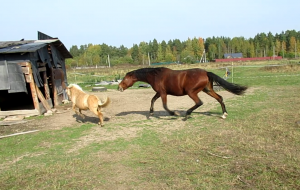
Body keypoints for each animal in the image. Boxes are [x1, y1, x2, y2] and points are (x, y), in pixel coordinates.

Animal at [118, 67, 247, 119]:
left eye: (125, 78)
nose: (119, 87)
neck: (156, 75)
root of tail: (206, 72)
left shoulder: (163, 93)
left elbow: (164, 105)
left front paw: (173, 113)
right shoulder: (159, 93)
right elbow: (152, 100)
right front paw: (151, 113)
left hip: (191, 92)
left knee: (199, 102)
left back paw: (187, 114)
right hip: (208, 90)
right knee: (219, 98)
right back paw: (224, 114)